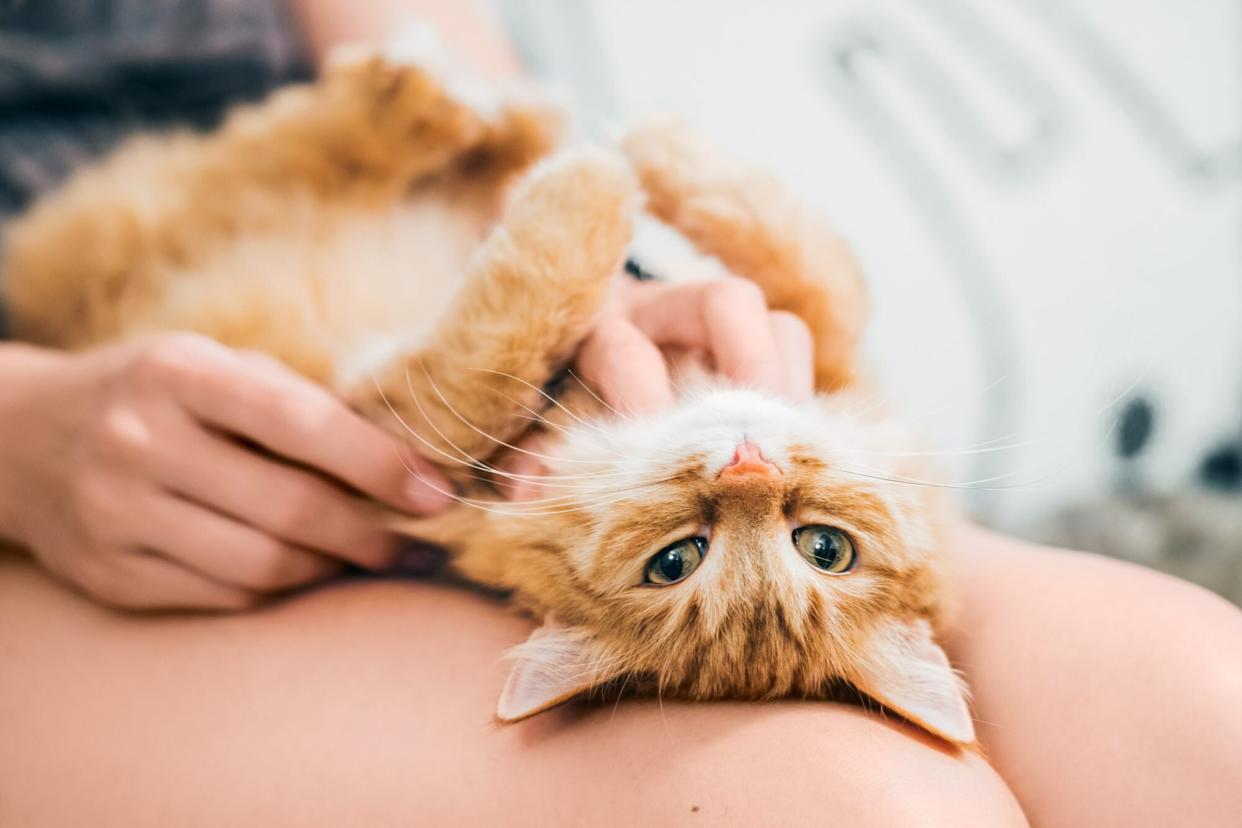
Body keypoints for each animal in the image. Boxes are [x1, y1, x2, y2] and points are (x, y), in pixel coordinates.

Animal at [0, 45, 968, 744]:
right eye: (826, 548)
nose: (748, 466)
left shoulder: (389, 428)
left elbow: (506, 333)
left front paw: (595, 183)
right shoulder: (818, 341)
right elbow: (821, 272)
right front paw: (647, 161)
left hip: (142, 222)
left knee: (277, 151)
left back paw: (434, 106)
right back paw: (481, 113)